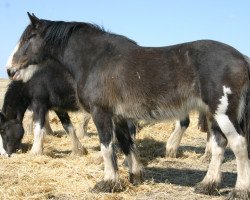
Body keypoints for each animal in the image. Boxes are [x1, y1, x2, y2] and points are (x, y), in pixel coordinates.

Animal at [5, 12, 250, 198]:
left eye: (30, 37)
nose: (9, 69)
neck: (96, 60)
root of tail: (242, 58)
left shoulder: (101, 113)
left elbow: (107, 147)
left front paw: (109, 182)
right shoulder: (120, 117)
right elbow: (126, 144)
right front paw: (135, 176)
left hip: (223, 113)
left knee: (238, 145)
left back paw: (239, 190)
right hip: (215, 114)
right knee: (219, 145)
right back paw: (208, 185)